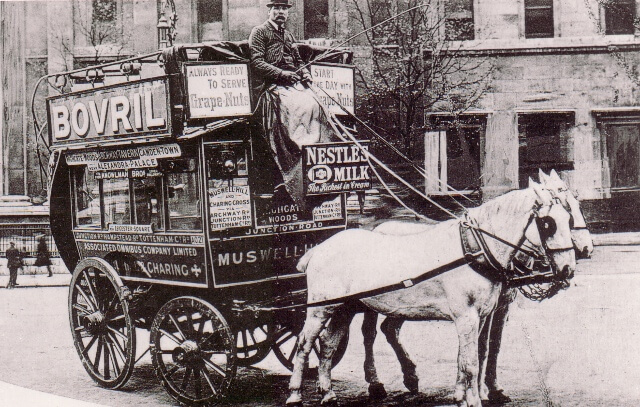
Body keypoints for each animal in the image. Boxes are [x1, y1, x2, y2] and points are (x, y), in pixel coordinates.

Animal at [288, 182, 576, 407]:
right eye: (548, 223)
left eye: (569, 219)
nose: (568, 269)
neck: (475, 249)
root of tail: (318, 249)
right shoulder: (466, 317)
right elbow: (471, 363)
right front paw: (472, 400)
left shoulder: (482, 315)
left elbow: (474, 355)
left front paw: (468, 395)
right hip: (320, 309)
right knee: (304, 345)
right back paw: (295, 394)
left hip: (342, 308)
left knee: (328, 345)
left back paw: (328, 393)